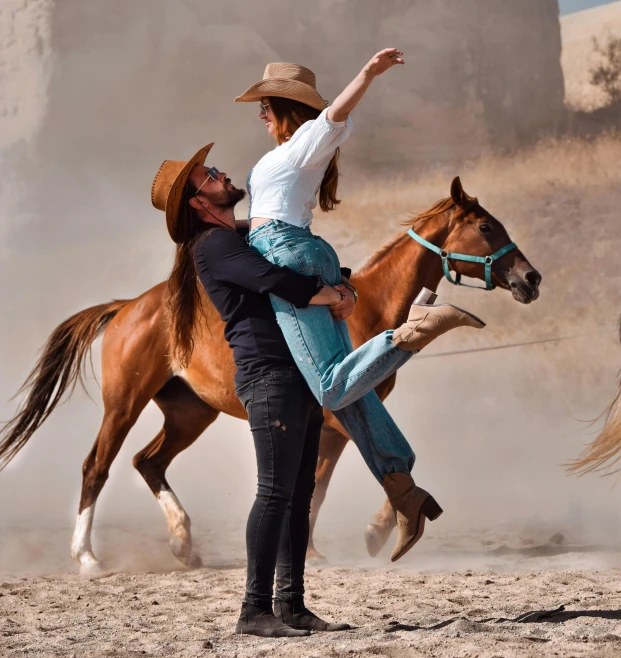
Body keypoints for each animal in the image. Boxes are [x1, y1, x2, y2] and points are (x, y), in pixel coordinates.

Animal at [0, 177, 536, 572]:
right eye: (486, 226)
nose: (531, 278)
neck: (368, 310)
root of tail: (127, 307)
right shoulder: (338, 415)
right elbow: (360, 470)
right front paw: (372, 533)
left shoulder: (334, 422)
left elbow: (321, 483)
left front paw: (326, 546)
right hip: (124, 404)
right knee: (97, 466)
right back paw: (88, 558)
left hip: (191, 414)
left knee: (147, 462)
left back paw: (183, 544)